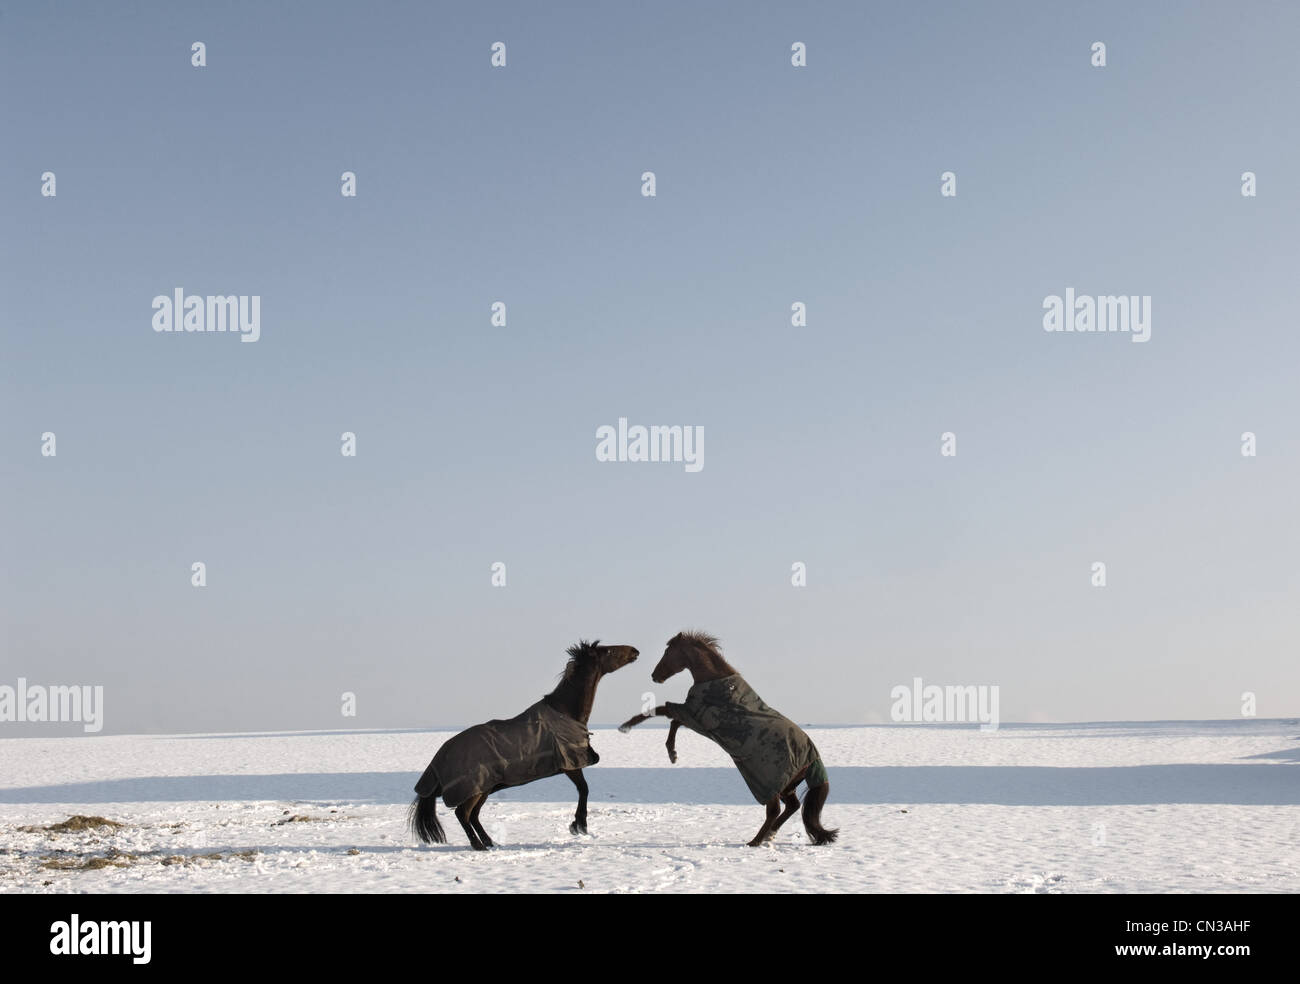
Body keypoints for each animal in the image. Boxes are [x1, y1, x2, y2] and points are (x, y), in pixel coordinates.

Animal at [409, 640, 638, 850]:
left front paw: (578, 825)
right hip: (474, 789)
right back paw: (479, 845)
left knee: (473, 815)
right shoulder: (570, 764)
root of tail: (440, 756)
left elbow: (584, 790)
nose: (634, 651)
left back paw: (489, 842)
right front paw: (578, 825)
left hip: (484, 788)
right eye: (608, 651)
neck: (565, 712)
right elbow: (584, 789)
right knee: (462, 813)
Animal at [619, 631, 837, 847]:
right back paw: (769, 835)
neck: (715, 680)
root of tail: (813, 757)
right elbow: (673, 721)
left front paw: (627, 727)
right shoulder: (694, 718)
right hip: (786, 785)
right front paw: (672, 754)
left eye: (667, 653)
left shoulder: (695, 716)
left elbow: (661, 710)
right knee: (792, 806)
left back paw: (755, 841)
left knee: (774, 809)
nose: (654, 676)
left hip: (770, 784)